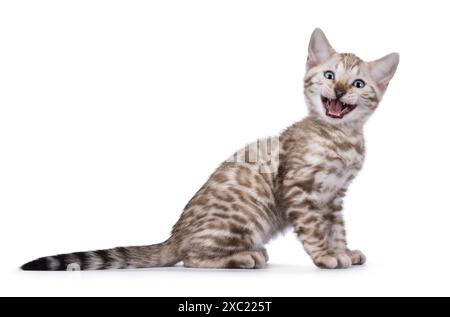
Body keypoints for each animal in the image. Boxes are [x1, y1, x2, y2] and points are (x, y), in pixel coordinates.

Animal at [22, 28, 400, 270]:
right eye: (328, 75)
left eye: (358, 83)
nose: (339, 91)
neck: (340, 139)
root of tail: (175, 235)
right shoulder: (300, 189)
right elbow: (314, 229)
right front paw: (326, 256)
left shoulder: (334, 196)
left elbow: (336, 228)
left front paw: (343, 250)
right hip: (242, 218)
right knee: (191, 258)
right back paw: (243, 257)